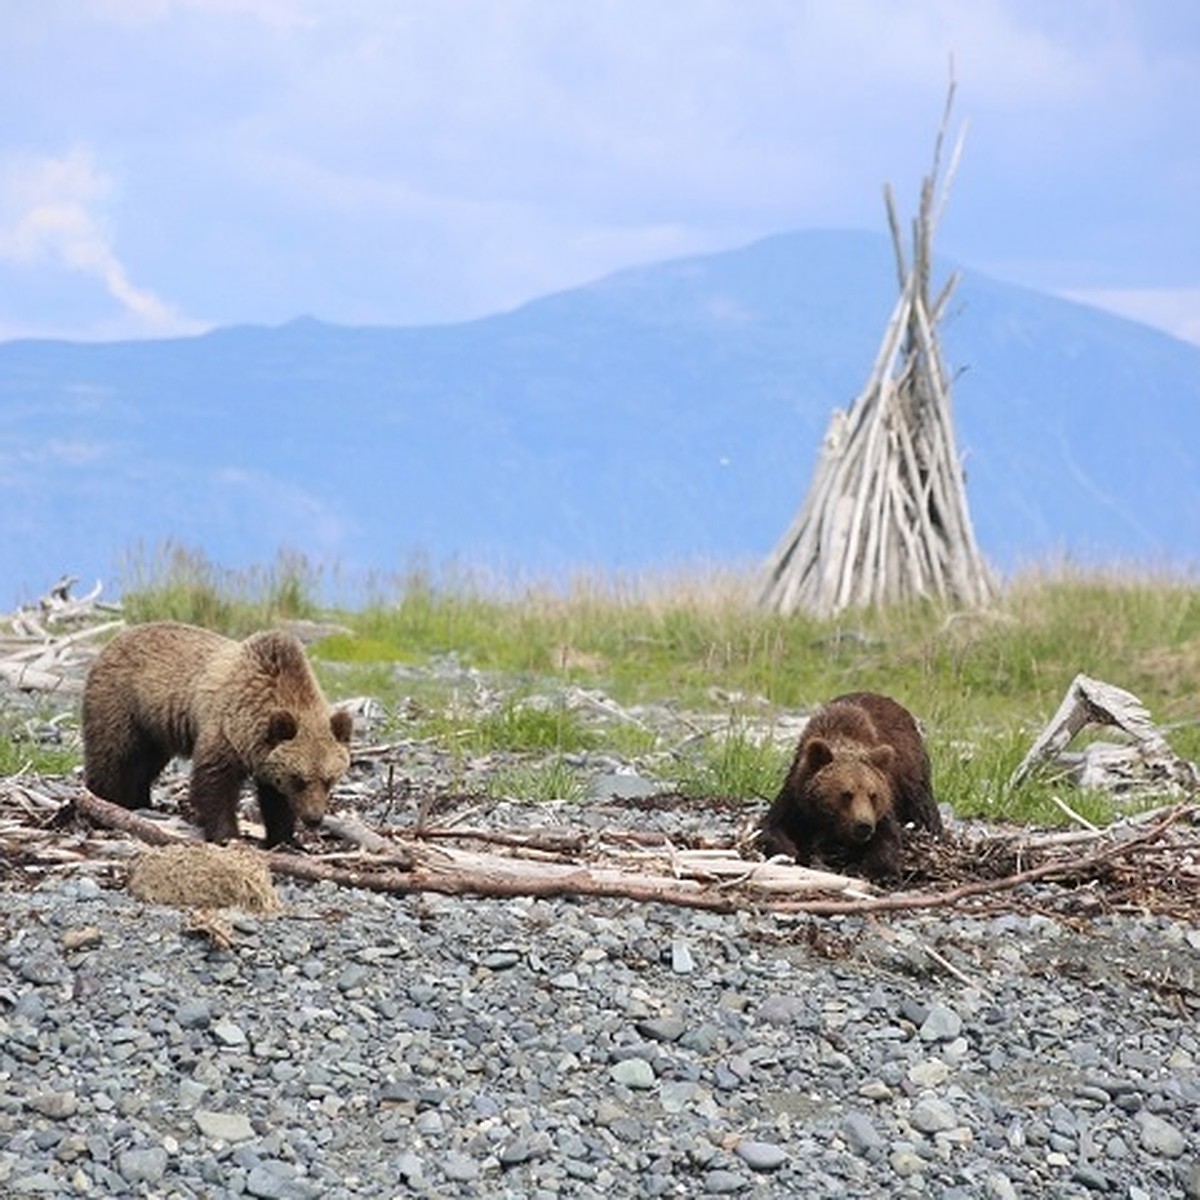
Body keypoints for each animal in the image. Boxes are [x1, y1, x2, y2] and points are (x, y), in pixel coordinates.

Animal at [84, 624, 350, 849]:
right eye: (299, 779)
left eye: (329, 779)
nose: (314, 818)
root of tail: (116, 639)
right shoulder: (225, 730)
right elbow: (214, 784)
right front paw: (227, 835)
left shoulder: (266, 752)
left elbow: (276, 800)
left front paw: (285, 839)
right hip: (120, 703)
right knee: (112, 756)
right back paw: (104, 804)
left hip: (154, 728)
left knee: (144, 764)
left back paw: (140, 803)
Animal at [753, 696, 940, 883]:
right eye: (847, 794)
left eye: (873, 795)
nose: (864, 825)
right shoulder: (796, 796)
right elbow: (771, 827)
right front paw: (790, 852)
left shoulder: (885, 800)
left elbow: (887, 835)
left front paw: (883, 872)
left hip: (911, 773)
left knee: (923, 809)